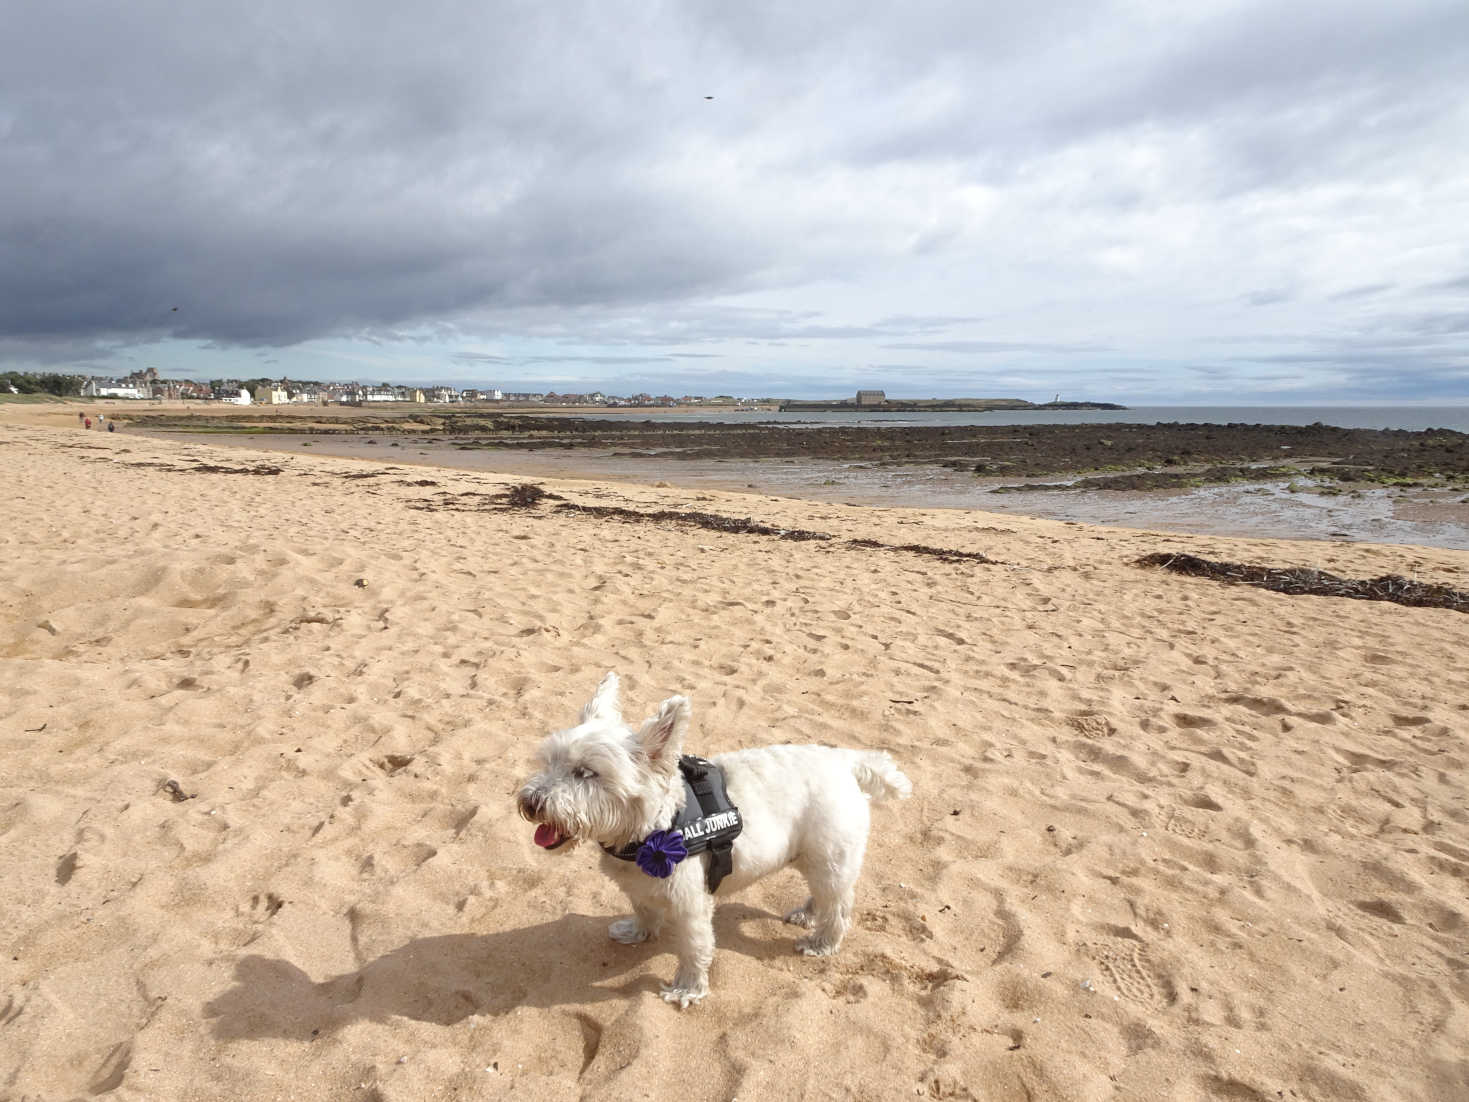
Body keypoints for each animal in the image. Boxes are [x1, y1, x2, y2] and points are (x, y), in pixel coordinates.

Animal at [514, 672, 904, 1010]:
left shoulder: (690, 903)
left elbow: (694, 947)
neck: (655, 825)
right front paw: (637, 932)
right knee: (823, 896)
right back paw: (807, 914)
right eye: (550, 762)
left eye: (586, 773)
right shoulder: (639, 887)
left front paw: (686, 988)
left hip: (831, 859)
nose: (531, 802)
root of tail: (844, 760)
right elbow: (643, 910)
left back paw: (821, 943)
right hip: (818, 858)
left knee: (837, 906)